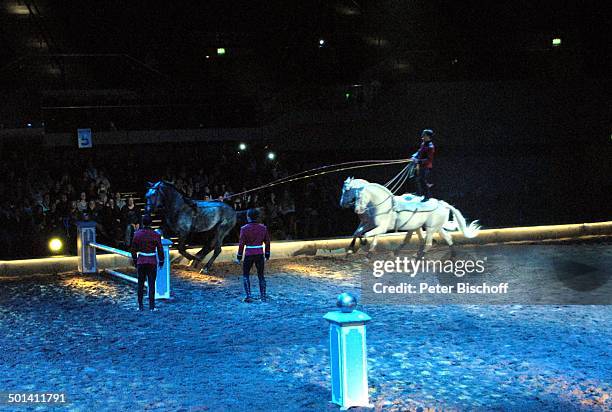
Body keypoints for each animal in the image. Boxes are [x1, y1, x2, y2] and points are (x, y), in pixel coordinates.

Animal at [340, 178, 478, 256]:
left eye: (346, 190)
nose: (357, 209)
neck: (383, 204)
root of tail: (442, 204)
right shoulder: (368, 223)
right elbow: (358, 233)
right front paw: (353, 249)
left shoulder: (380, 227)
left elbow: (367, 235)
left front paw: (366, 247)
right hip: (433, 227)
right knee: (446, 238)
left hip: (430, 228)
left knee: (428, 242)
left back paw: (419, 257)